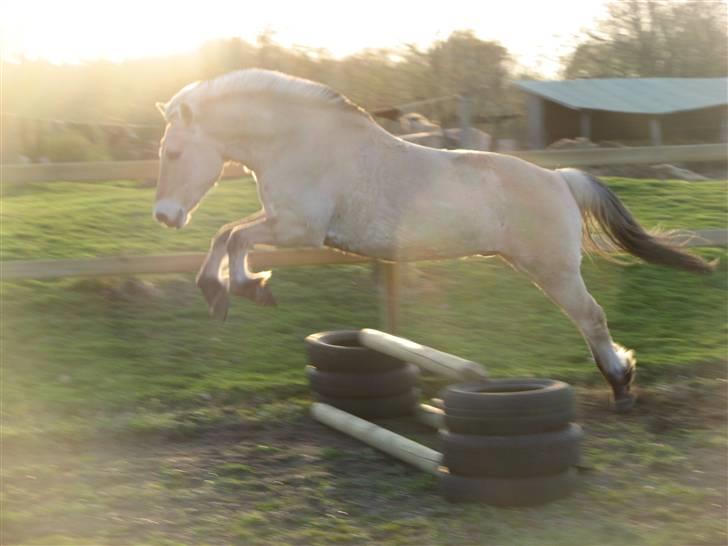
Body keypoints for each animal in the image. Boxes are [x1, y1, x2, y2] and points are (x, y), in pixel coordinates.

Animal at [151, 68, 712, 408]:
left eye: (173, 153)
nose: (165, 216)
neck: (301, 142)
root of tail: (560, 178)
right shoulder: (283, 221)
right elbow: (227, 235)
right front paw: (232, 289)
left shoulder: (299, 230)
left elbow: (232, 238)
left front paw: (237, 290)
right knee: (590, 319)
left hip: (553, 270)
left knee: (591, 318)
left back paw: (621, 385)